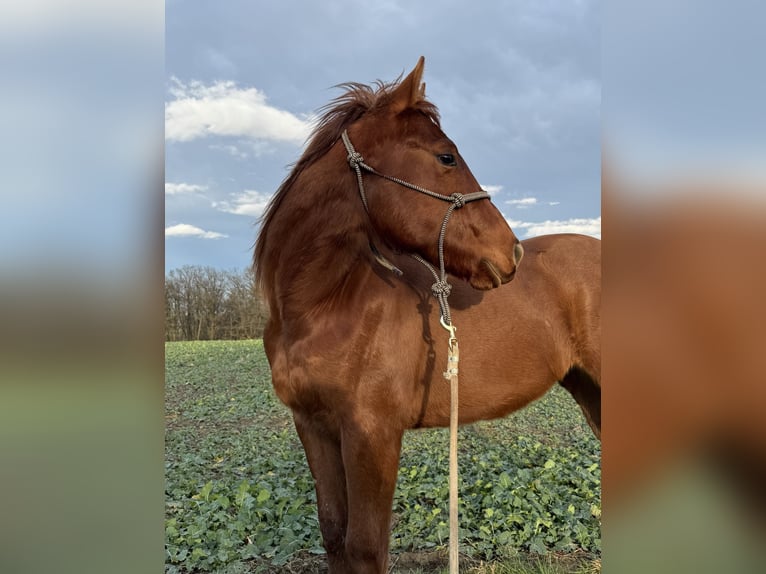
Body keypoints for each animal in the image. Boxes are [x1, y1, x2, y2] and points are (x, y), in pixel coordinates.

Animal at [254, 57, 601, 573]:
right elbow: (334, 534)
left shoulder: (372, 434)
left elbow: (365, 545)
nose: (512, 252)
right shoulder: (314, 427)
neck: (323, 308)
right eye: (446, 157)